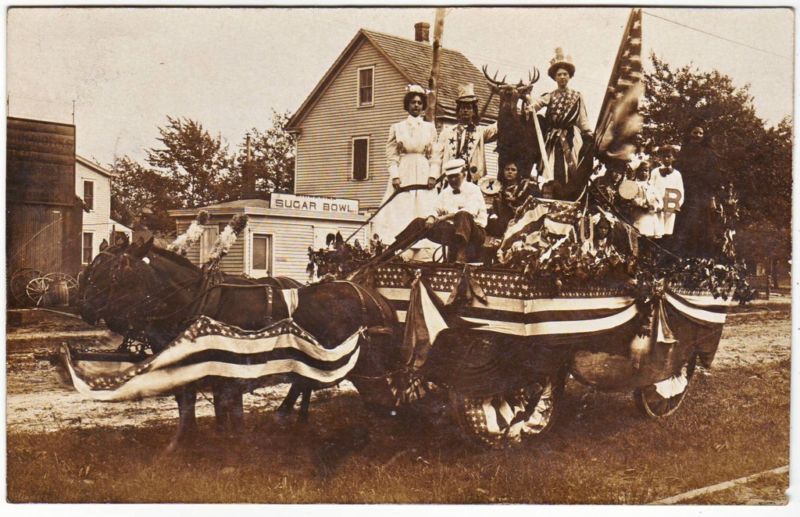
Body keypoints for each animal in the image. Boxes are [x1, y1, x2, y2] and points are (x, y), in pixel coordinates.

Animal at [77, 237, 396, 448]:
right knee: (307, 383)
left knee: (377, 393)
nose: (84, 307)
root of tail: (376, 298)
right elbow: (189, 401)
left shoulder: (230, 365)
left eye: (114, 273)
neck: (200, 302)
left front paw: (231, 444)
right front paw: (189, 442)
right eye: (93, 269)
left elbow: (228, 408)